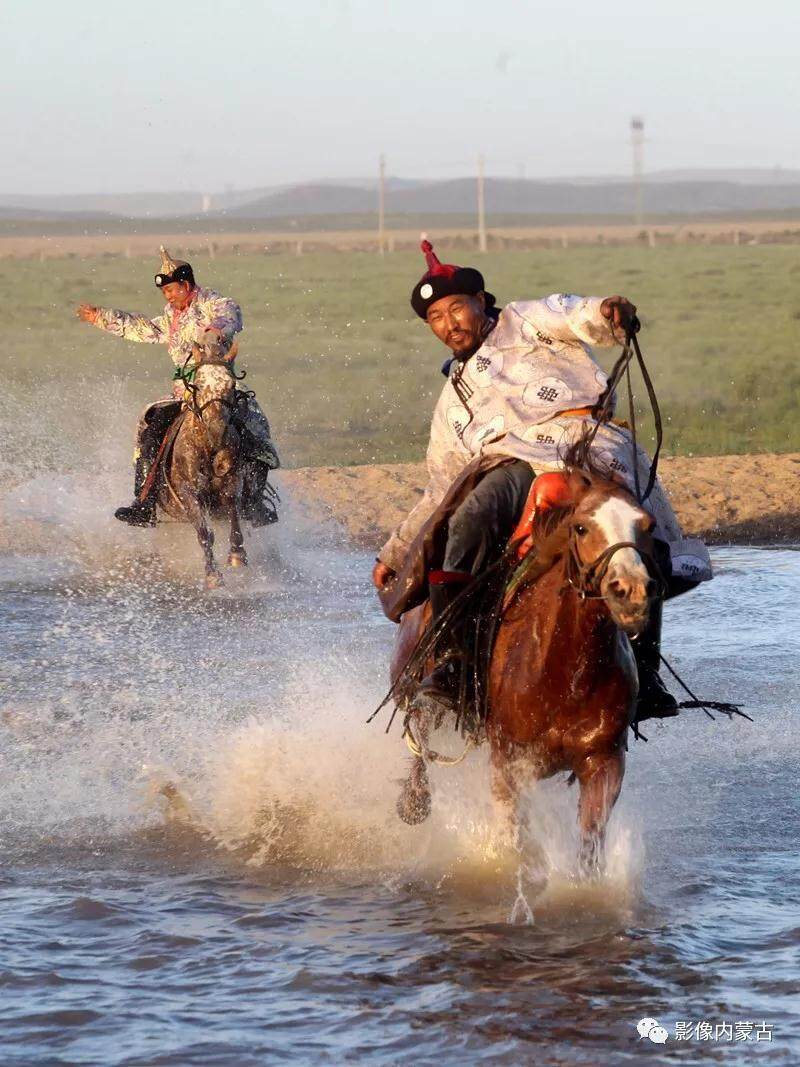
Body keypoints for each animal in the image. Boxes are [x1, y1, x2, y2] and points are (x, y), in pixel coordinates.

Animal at [154, 341, 246, 588]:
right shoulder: (189, 493)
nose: (217, 430)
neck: (207, 448)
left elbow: (234, 513)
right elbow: (205, 534)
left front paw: (237, 555)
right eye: (199, 384)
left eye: (231, 384)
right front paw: (213, 575)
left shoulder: (233, 482)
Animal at [392, 463, 661, 870]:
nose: (630, 592)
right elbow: (515, 843)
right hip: (418, 686)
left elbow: (589, 849)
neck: (566, 672)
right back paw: (414, 800)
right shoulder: (509, 765)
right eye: (581, 527)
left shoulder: (604, 762)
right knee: (420, 733)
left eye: (646, 525)